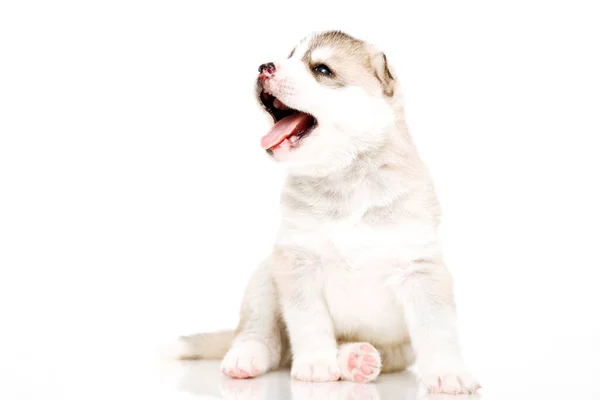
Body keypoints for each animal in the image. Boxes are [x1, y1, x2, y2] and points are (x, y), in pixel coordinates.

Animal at [176, 30, 480, 394]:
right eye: (289, 56)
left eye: (321, 69)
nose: (264, 66)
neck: (346, 176)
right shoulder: (298, 262)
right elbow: (310, 322)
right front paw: (316, 365)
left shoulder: (421, 266)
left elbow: (437, 328)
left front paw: (448, 373)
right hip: (264, 278)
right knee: (262, 336)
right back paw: (246, 358)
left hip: (395, 347)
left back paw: (356, 360)